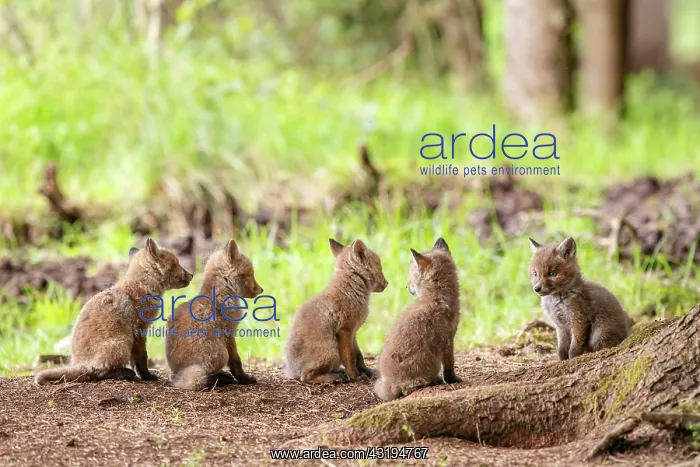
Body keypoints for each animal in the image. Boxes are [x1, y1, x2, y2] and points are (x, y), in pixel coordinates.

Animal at [34, 238, 193, 385]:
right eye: (177, 263)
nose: (191, 275)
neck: (141, 287)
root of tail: (81, 363)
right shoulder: (139, 330)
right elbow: (141, 358)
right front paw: (146, 376)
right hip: (122, 343)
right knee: (98, 372)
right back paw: (124, 373)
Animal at [166, 239, 263, 390]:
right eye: (251, 273)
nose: (261, 289)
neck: (220, 292)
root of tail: (182, 372)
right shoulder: (229, 333)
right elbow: (236, 362)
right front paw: (244, 379)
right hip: (221, 353)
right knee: (200, 379)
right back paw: (221, 379)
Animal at [284, 239, 388, 384]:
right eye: (379, 266)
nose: (387, 283)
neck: (350, 291)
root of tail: (291, 371)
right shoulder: (345, 331)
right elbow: (350, 357)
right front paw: (355, 376)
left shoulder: (353, 333)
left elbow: (359, 357)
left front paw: (366, 371)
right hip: (331, 352)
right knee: (306, 377)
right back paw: (333, 377)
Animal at [374, 238, 461, 401]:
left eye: (412, 276)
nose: (406, 286)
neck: (436, 297)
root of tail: (390, 383)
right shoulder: (448, 339)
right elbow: (449, 365)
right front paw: (452, 379)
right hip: (430, 363)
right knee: (412, 388)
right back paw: (433, 381)